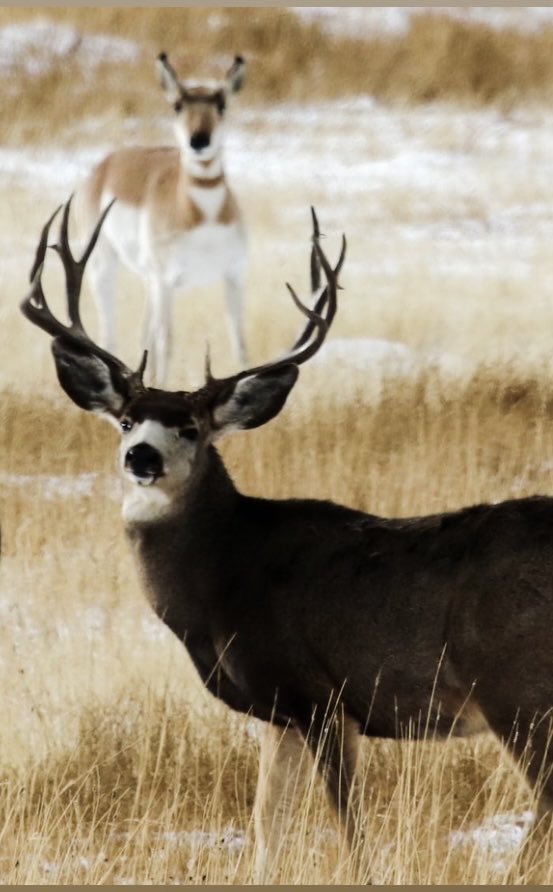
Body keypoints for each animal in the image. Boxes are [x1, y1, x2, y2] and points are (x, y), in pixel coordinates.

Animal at [21, 200, 553, 880]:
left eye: (190, 427)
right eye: (125, 419)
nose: (141, 456)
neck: (220, 583)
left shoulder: (322, 695)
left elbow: (349, 828)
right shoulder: (281, 714)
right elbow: (266, 826)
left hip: (519, 689)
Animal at [74, 49, 247, 384]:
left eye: (221, 104)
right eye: (178, 105)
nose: (199, 140)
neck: (203, 216)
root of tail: (107, 165)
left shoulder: (233, 276)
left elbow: (239, 345)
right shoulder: (167, 281)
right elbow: (167, 343)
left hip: (148, 280)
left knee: (145, 336)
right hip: (105, 268)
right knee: (112, 336)